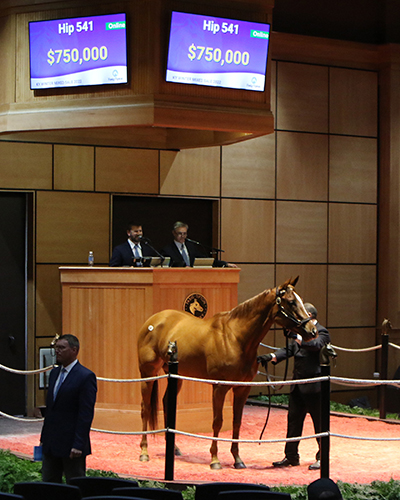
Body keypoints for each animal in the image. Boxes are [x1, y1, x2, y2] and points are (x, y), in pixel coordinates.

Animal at [137, 278, 316, 468]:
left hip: (176, 376)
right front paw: (215, 460)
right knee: (145, 408)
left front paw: (237, 459)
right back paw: (144, 452)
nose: (312, 331)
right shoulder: (219, 387)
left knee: (165, 403)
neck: (235, 338)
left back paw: (174, 448)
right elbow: (218, 421)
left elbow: (237, 422)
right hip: (147, 373)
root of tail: (153, 321)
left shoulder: (242, 388)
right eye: (291, 302)